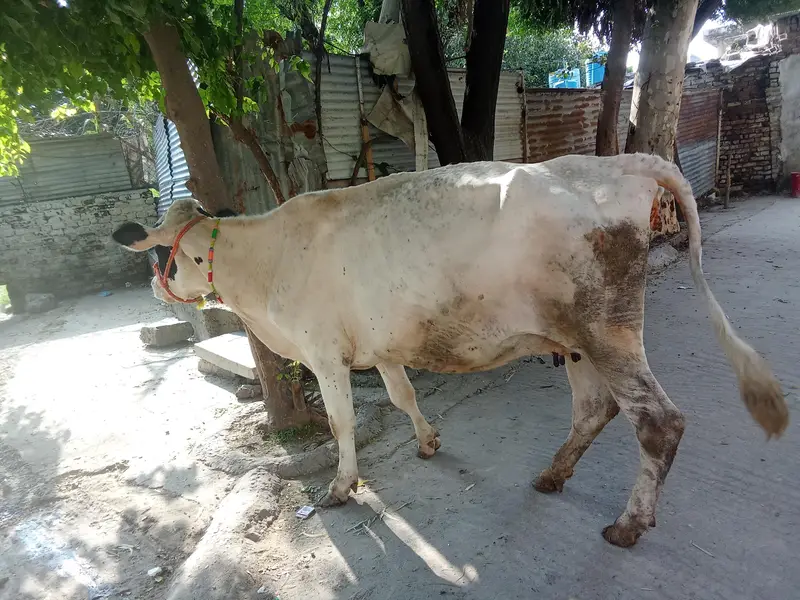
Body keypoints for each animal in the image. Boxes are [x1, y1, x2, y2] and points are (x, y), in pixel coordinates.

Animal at [112, 153, 789, 547]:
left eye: (168, 253)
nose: (157, 286)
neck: (265, 262)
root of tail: (617, 163)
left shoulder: (324, 351)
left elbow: (342, 422)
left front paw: (341, 487)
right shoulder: (381, 343)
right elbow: (401, 392)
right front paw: (428, 441)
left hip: (609, 330)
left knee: (657, 421)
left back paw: (627, 524)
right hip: (577, 341)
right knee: (595, 409)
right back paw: (553, 474)